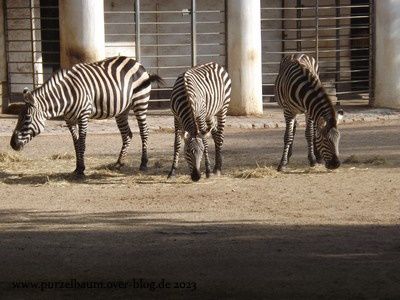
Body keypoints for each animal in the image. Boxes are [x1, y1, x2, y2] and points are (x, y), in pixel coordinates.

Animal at [9, 55, 162, 177]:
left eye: (27, 119)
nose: (12, 144)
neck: (66, 95)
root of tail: (135, 62)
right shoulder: (69, 119)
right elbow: (76, 144)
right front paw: (77, 168)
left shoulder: (83, 115)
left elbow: (82, 143)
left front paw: (81, 170)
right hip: (122, 110)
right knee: (127, 134)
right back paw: (119, 163)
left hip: (140, 102)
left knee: (144, 131)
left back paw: (143, 163)